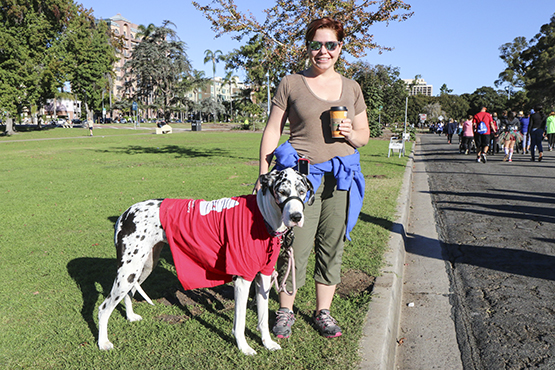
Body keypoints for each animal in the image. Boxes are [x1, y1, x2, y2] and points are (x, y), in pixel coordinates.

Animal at [99, 168, 312, 356]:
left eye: (302, 192)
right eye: (282, 192)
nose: (296, 217)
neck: (261, 216)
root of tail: (125, 213)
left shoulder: (264, 278)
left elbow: (263, 318)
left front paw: (267, 343)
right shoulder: (243, 281)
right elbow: (240, 323)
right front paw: (244, 347)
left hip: (142, 268)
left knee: (128, 294)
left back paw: (130, 317)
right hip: (128, 271)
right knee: (104, 308)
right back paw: (103, 342)